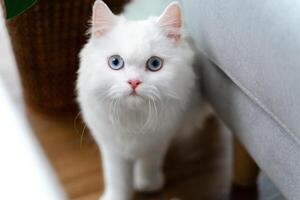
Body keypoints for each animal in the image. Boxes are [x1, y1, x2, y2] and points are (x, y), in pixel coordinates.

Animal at [76, 0, 205, 199]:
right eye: (115, 62)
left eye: (154, 64)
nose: (134, 82)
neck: (134, 121)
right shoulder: (112, 147)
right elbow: (117, 178)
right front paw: (117, 196)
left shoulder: (158, 141)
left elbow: (149, 164)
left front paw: (147, 184)